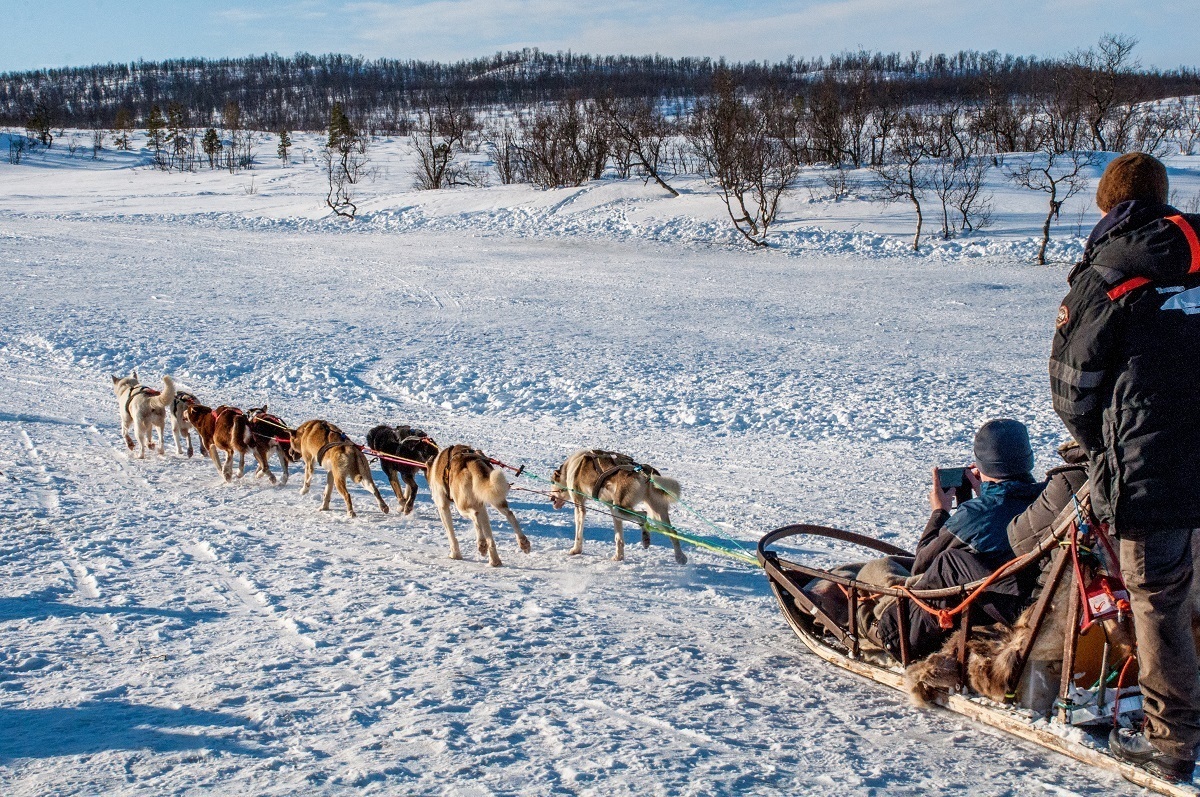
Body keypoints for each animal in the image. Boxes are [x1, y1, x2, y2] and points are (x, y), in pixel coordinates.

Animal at [549, 448, 686, 566]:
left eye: (552, 482)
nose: (550, 498)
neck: (571, 467)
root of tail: (645, 472)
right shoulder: (611, 510)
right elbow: (619, 538)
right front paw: (618, 557)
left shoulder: (579, 506)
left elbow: (578, 533)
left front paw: (576, 550)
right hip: (653, 513)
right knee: (673, 532)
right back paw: (680, 557)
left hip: (620, 509)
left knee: (643, 515)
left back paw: (646, 538)